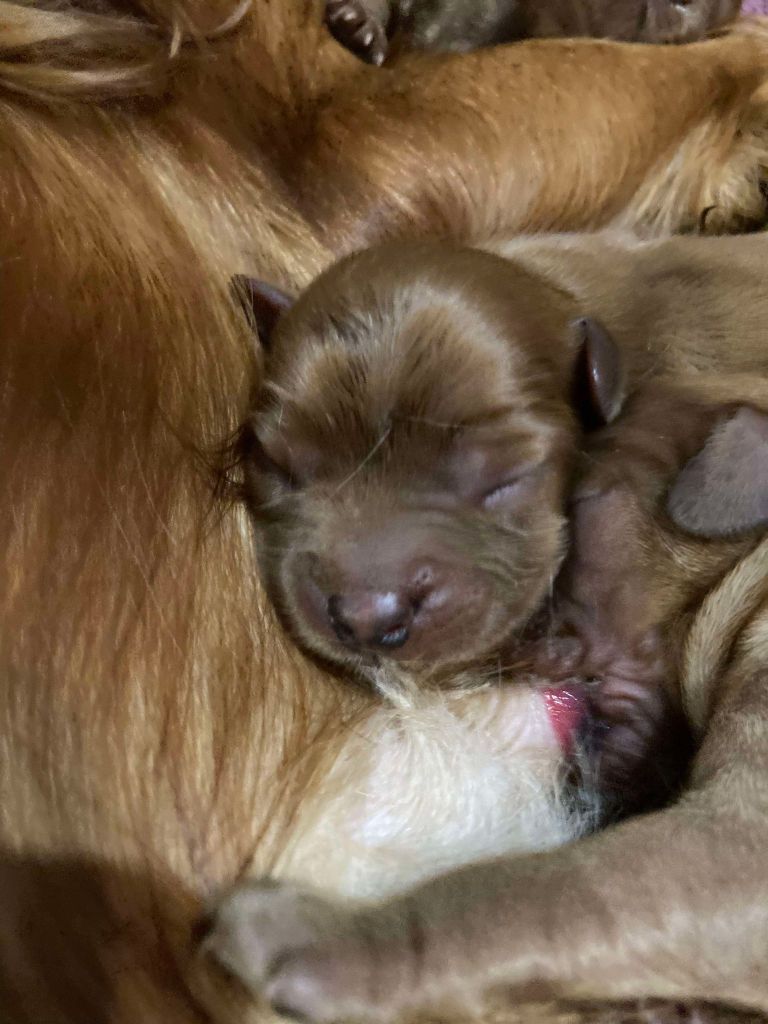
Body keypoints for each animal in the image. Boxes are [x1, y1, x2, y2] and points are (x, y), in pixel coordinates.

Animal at [204, 234, 768, 1024]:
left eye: (518, 483)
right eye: (277, 469)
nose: (370, 616)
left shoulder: (730, 849)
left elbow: (541, 895)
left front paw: (316, 934)